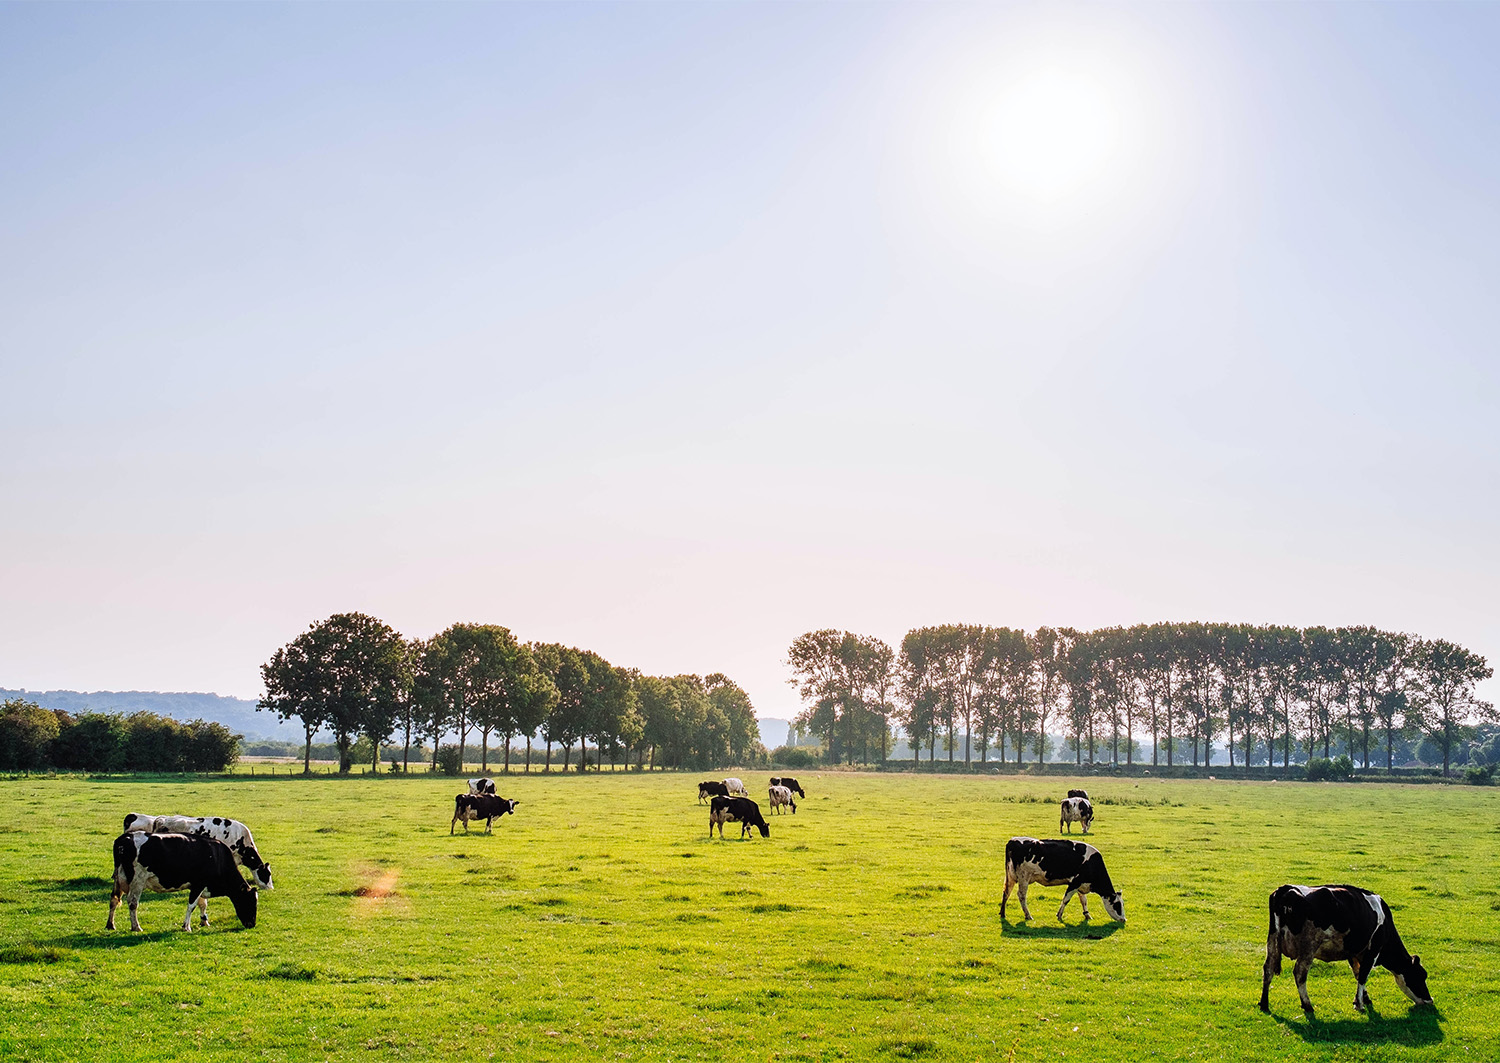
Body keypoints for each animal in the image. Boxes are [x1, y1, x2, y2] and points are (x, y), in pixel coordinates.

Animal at [107, 827, 258, 929]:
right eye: (251, 902)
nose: (252, 924)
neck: (217, 857)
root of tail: (125, 838)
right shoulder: (199, 883)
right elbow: (191, 905)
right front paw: (186, 926)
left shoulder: (200, 886)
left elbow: (202, 904)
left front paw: (204, 921)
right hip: (137, 880)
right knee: (132, 902)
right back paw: (136, 927)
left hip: (118, 878)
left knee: (114, 899)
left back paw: (110, 925)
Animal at [1260, 881, 1434, 1013]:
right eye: (1420, 976)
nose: (1430, 1000)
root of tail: (1286, 889)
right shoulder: (1373, 950)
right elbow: (1363, 975)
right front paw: (1360, 1005)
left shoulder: (1354, 953)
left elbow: (1357, 974)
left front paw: (1363, 999)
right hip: (1308, 946)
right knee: (1299, 973)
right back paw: (1307, 1005)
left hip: (1272, 941)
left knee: (1268, 969)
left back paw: (1264, 1004)